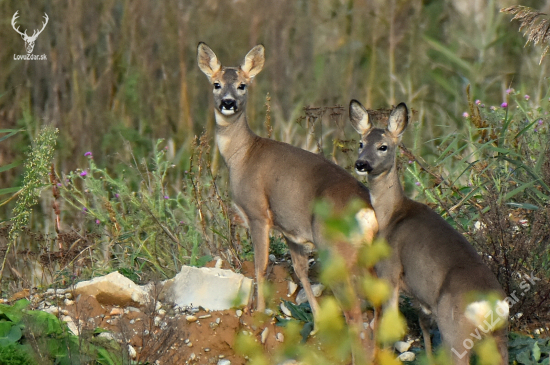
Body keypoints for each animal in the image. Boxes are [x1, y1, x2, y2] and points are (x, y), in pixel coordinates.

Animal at [198, 42, 380, 356]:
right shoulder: (291, 231)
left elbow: (260, 266)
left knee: (355, 313)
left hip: (336, 250)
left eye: (243, 85)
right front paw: (317, 323)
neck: (241, 155)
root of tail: (365, 211)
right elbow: (300, 271)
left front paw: (258, 312)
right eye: (216, 84)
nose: (228, 102)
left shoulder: (258, 213)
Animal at [352, 99, 512, 364]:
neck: (391, 215)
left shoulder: (390, 270)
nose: (361, 164)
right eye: (361, 143)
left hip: (455, 331)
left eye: (383, 146)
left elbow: (388, 324)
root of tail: (489, 305)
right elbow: (423, 327)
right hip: (498, 338)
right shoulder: (420, 298)